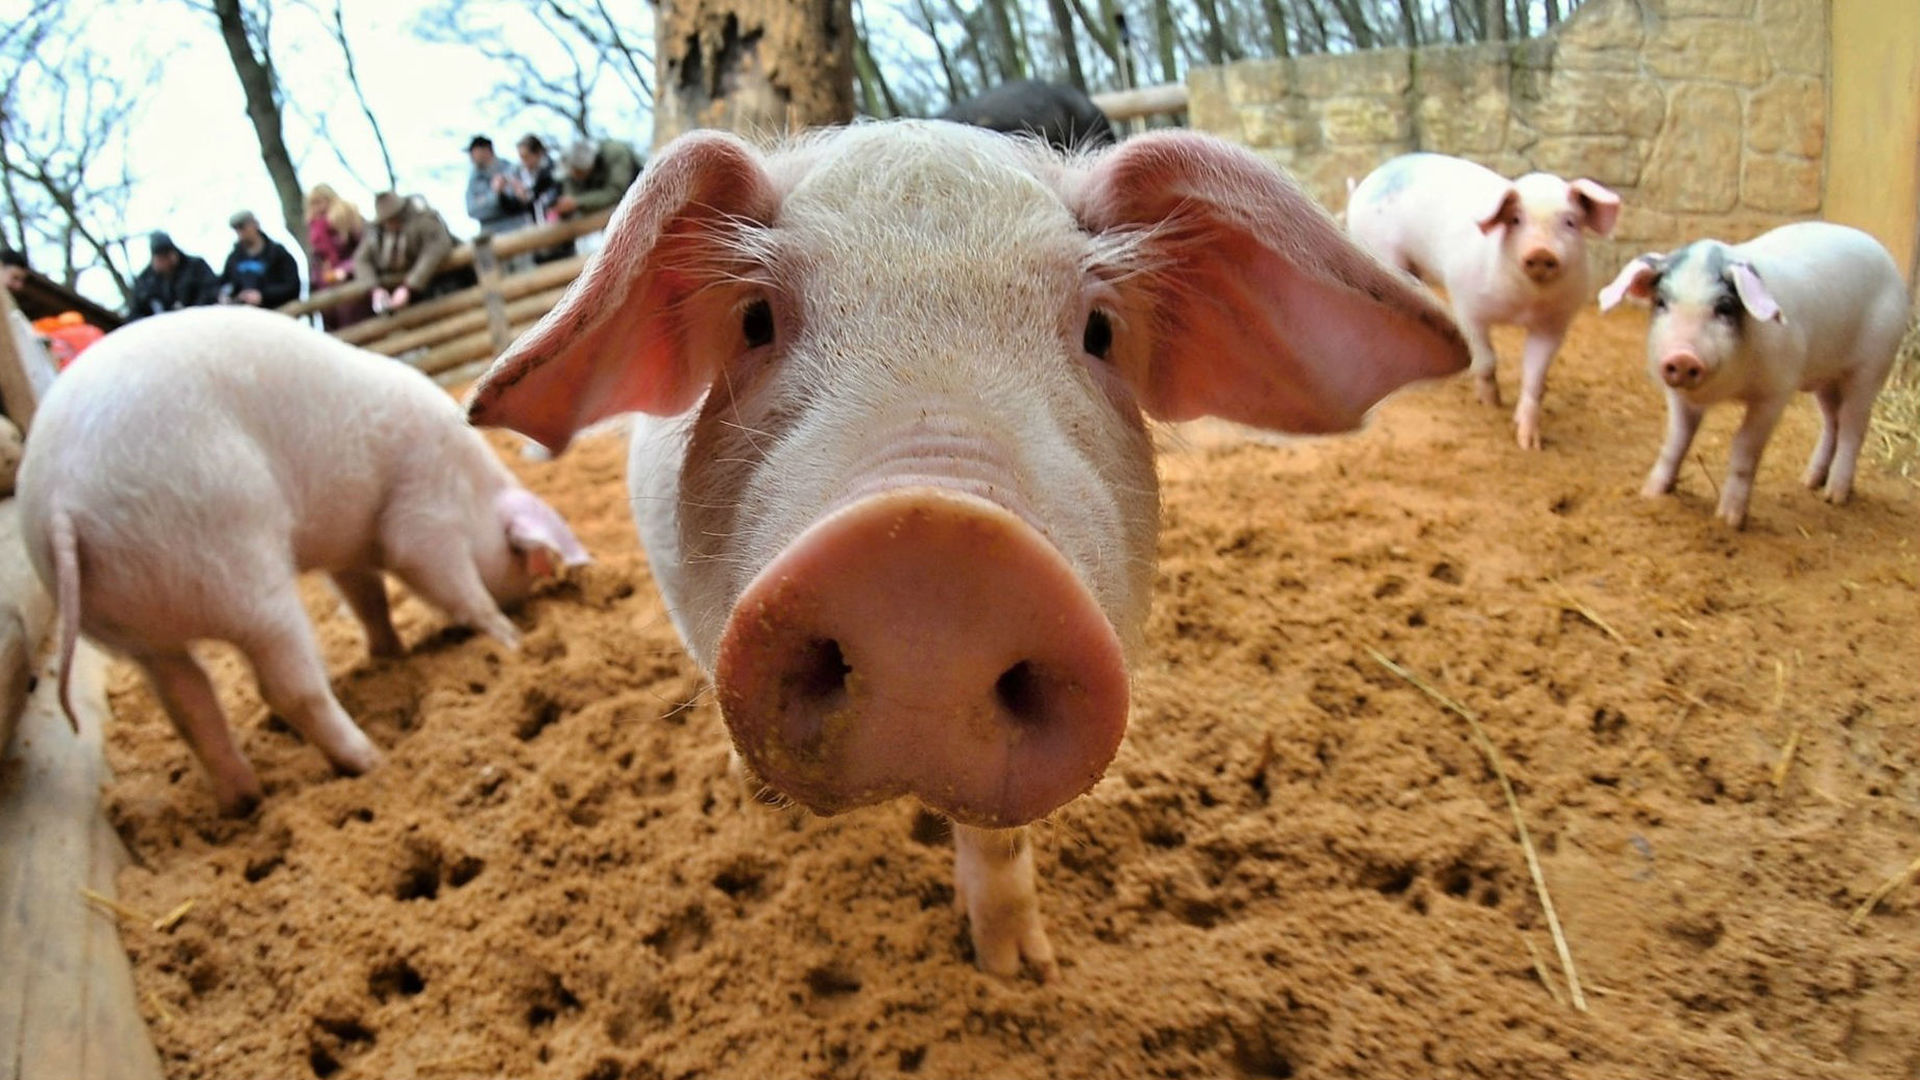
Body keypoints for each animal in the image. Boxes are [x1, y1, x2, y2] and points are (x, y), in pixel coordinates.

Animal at [15, 303, 583, 807]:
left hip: (131, 630)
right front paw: (513, 642)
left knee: (188, 704)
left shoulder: (348, 547)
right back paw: (371, 759)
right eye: (518, 559)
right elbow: (451, 584)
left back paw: (244, 801)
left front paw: (391, 656)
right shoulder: (422, 517)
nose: (526, 604)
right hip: (236, 570)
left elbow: (368, 600)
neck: (471, 489)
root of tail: (62, 498)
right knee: (286, 687)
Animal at [1351, 153, 1620, 447]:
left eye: (1570, 222)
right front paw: (1491, 404)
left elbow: (1535, 378)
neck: (1523, 307)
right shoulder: (1467, 304)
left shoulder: (1554, 323)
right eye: (1516, 219)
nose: (1541, 252)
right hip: (1383, 253)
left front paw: (1529, 442)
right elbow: (1486, 360)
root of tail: (1372, 178)